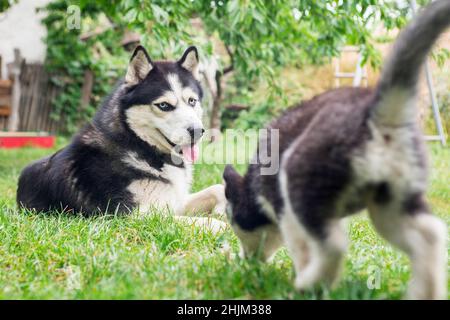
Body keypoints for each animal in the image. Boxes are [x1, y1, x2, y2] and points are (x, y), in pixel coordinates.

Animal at [18, 45, 227, 230]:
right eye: (164, 105)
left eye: (192, 101)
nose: (198, 131)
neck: (139, 145)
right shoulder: (133, 215)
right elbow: (200, 222)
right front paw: (220, 224)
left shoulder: (174, 201)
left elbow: (217, 188)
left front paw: (222, 209)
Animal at [223, 0, 448, 300]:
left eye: (234, 224)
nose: (245, 260)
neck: (254, 186)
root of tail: (376, 114)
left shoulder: (287, 211)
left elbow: (302, 248)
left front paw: (301, 272)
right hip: (391, 204)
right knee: (431, 234)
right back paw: (425, 291)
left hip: (303, 178)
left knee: (335, 245)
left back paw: (310, 284)